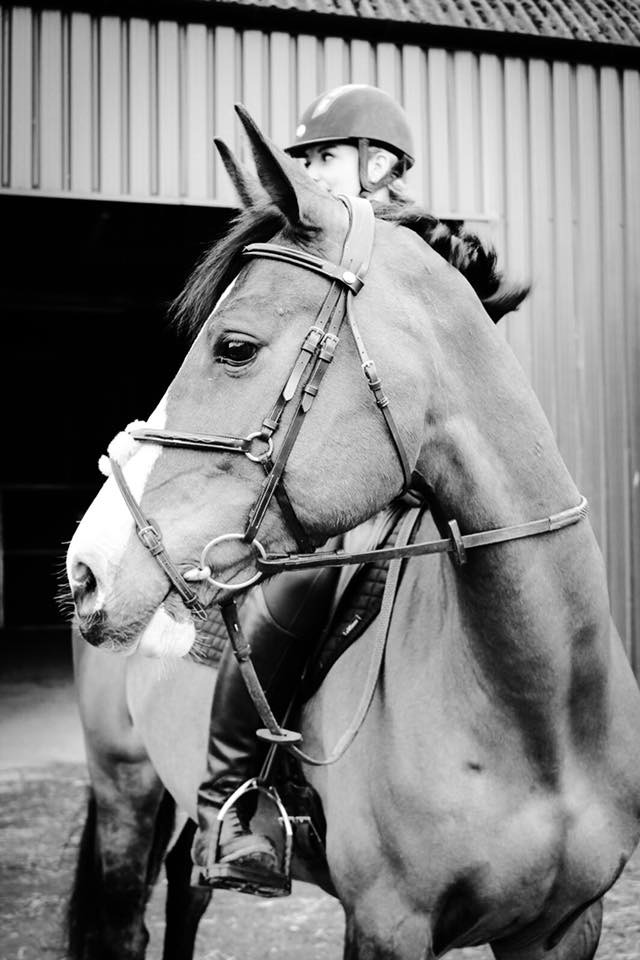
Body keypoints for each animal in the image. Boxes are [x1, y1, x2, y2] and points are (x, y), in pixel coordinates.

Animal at [65, 105, 640, 960]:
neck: (541, 710)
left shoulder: (566, 926)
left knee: (186, 889)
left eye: (234, 347)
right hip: (123, 782)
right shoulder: (385, 925)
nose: (86, 571)